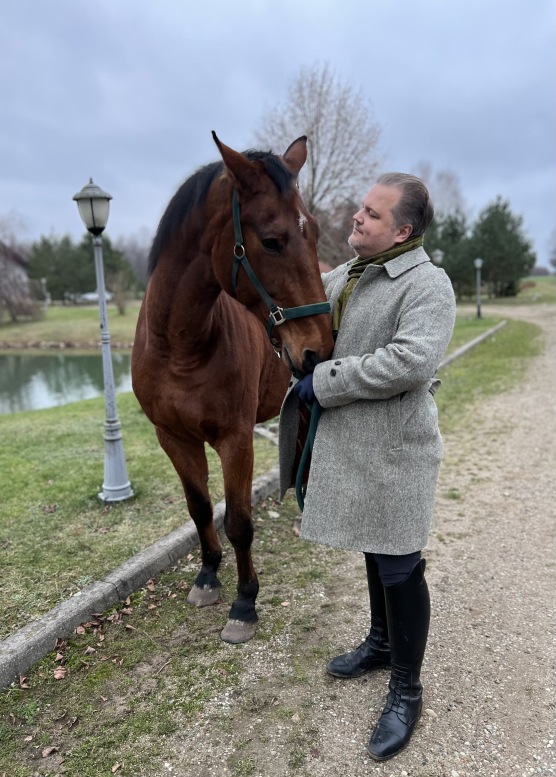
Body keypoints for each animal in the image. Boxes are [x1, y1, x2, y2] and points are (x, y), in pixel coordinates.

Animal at [132, 132, 334, 643]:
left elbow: (239, 521)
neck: (181, 346)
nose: (319, 350)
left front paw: (245, 603)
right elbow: (201, 509)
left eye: (314, 230)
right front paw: (207, 576)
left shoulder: (235, 439)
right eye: (272, 241)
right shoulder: (173, 438)